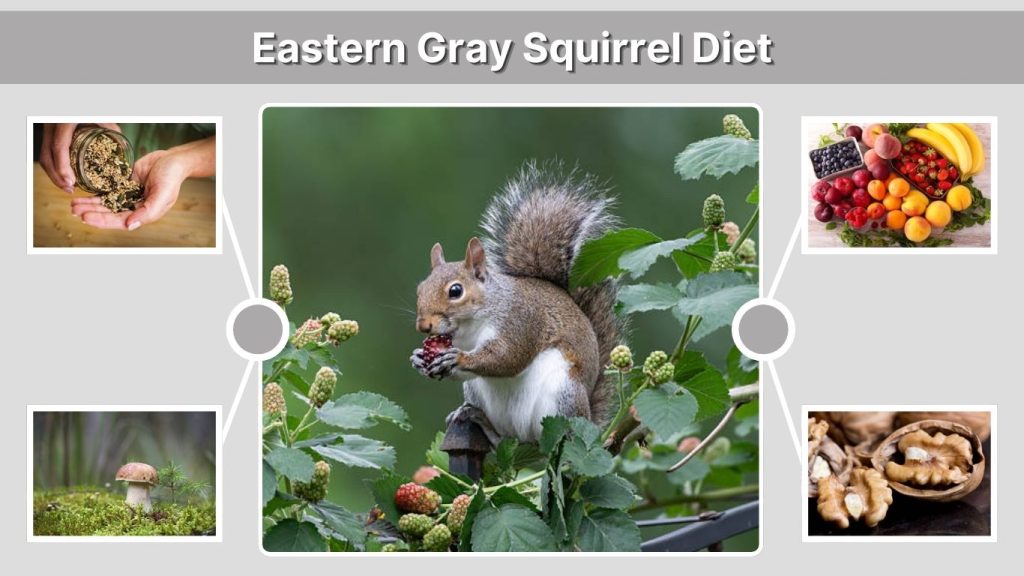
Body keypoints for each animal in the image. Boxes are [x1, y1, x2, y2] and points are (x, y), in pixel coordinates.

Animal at [411, 161, 623, 444]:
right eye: (420, 289)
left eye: (455, 291)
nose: (423, 326)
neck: (470, 328)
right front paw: (418, 358)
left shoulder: (521, 322)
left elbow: (507, 358)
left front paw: (459, 358)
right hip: (478, 394)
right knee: (502, 439)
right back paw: (475, 418)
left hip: (563, 394)